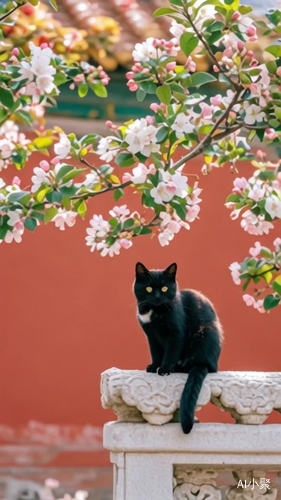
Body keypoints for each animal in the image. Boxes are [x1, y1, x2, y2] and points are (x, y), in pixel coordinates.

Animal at [133, 262, 223, 434]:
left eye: (164, 288)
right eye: (149, 288)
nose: (157, 297)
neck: (155, 312)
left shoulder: (176, 333)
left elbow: (171, 352)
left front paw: (165, 369)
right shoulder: (151, 336)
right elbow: (155, 352)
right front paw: (154, 366)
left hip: (205, 333)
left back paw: (179, 367)